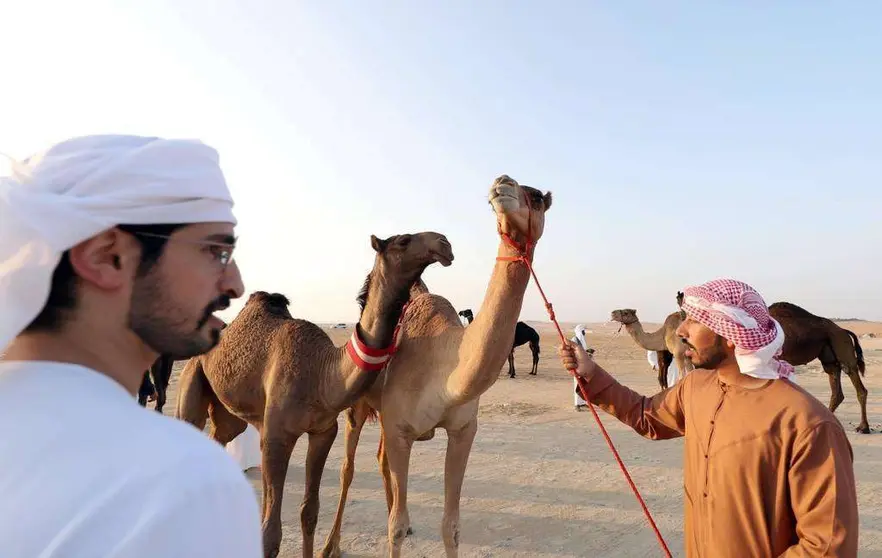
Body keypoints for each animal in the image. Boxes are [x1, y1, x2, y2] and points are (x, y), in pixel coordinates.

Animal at [176, 232, 458, 558]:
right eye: (403, 240)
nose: (444, 243)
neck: (322, 373)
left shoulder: (322, 431)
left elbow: (308, 511)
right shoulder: (279, 434)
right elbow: (271, 533)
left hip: (233, 416)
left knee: (221, 436)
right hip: (193, 378)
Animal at [324, 176, 552, 558]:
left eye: (536, 197)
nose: (501, 184)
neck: (445, 368)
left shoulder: (462, 430)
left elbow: (452, 526)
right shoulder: (400, 428)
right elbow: (395, 529)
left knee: (381, 461)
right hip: (358, 406)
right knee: (348, 467)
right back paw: (330, 544)